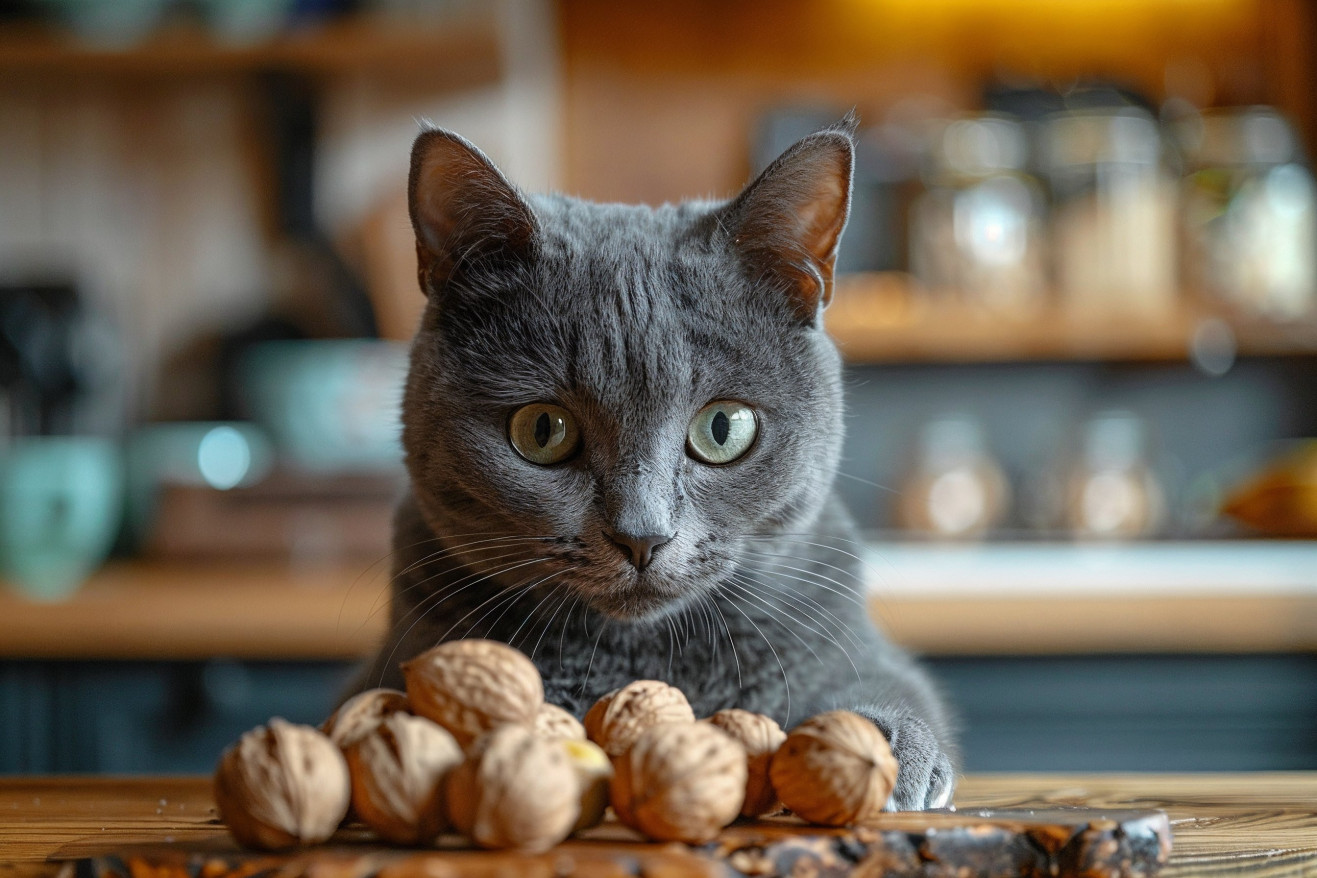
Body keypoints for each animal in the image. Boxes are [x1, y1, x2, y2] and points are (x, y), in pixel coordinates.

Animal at [355, 116, 964, 810]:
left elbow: (889, 687)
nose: (641, 536)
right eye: (541, 430)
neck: (641, 657)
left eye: (723, 428)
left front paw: (881, 746)